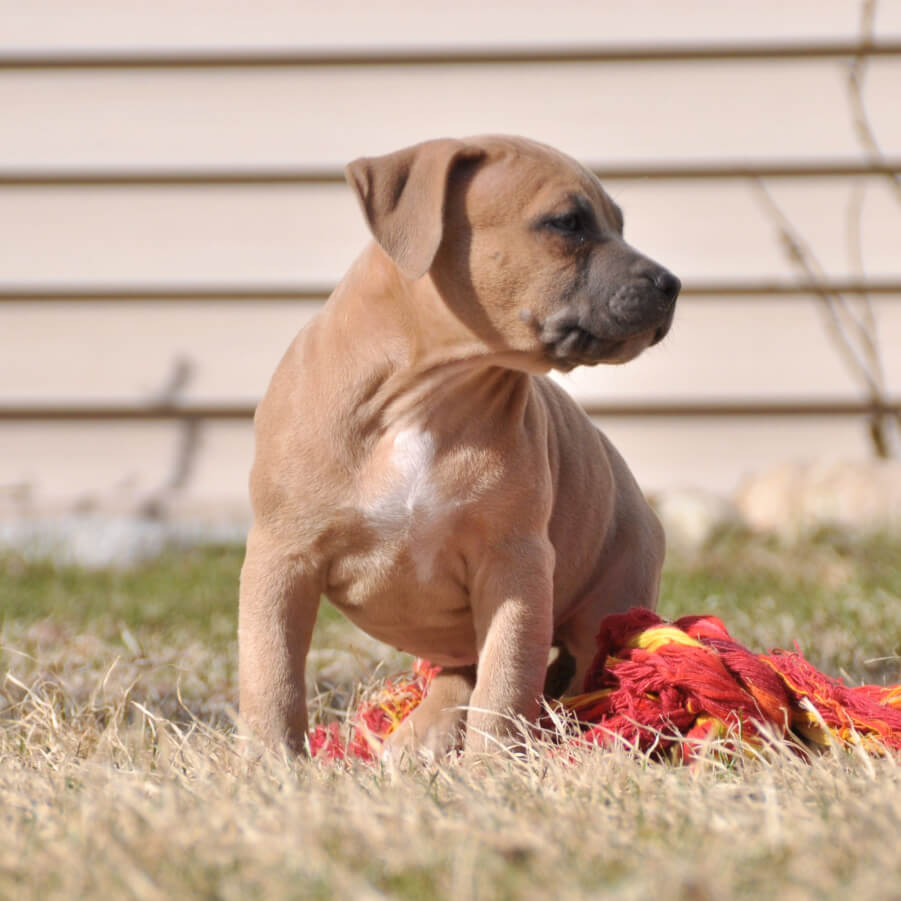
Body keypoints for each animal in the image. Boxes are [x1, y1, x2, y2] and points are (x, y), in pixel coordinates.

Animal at [239, 135, 680, 756]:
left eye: (619, 224)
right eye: (567, 223)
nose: (672, 284)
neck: (427, 393)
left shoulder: (514, 566)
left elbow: (506, 680)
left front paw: (491, 765)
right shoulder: (282, 557)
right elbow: (271, 672)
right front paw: (272, 761)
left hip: (613, 597)